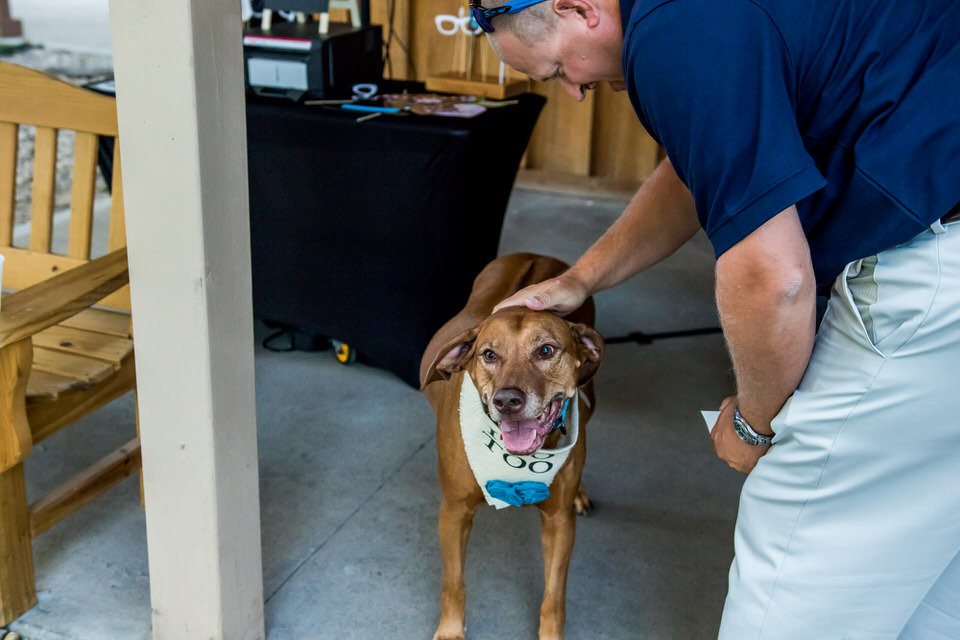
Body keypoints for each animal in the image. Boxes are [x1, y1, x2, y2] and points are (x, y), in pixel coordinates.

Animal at [422, 252, 604, 640]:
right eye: (489, 355)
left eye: (546, 350)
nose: (507, 401)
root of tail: (539, 256)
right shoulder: (454, 510)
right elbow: (453, 582)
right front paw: (451, 630)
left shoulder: (559, 522)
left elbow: (553, 597)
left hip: (589, 396)